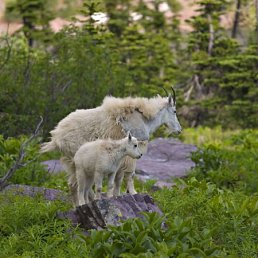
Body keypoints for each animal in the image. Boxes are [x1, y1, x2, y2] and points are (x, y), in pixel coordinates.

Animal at [41, 88, 181, 206]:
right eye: (174, 111)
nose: (179, 130)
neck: (144, 118)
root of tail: (56, 137)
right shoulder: (131, 153)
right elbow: (129, 174)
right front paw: (133, 192)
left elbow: (118, 178)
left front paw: (116, 195)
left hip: (72, 161)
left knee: (73, 183)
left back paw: (78, 205)